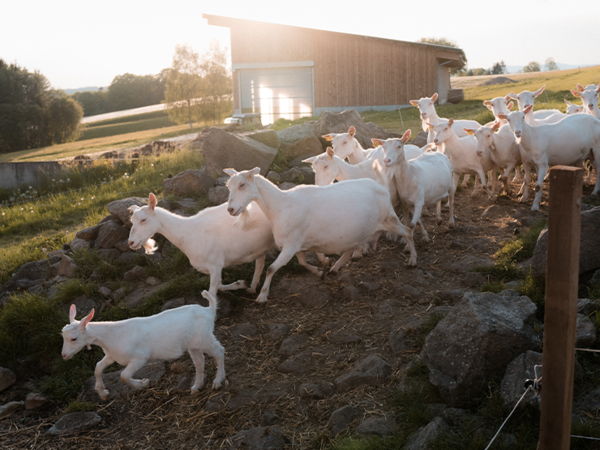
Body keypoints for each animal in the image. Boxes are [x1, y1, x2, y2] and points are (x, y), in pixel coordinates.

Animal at [61, 292, 225, 400]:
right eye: (63, 336)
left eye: (74, 339)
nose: (64, 355)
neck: (113, 335)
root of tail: (208, 310)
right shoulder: (112, 355)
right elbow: (98, 368)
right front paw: (103, 393)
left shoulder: (140, 358)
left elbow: (124, 376)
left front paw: (143, 384)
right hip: (193, 344)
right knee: (200, 361)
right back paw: (197, 387)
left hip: (205, 338)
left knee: (219, 351)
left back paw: (218, 381)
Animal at [130, 192, 276, 296]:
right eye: (132, 220)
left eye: (143, 219)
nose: (131, 242)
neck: (187, 233)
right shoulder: (213, 267)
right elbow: (219, 286)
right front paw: (241, 283)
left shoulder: (215, 264)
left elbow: (212, 293)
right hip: (259, 245)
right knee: (260, 261)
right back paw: (252, 287)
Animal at [225, 168, 418, 302]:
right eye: (229, 186)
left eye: (242, 185)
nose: (230, 209)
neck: (280, 205)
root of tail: (381, 187)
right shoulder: (298, 245)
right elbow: (302, 263)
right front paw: (320, 271)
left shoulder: (290, 246)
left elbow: (271, 269)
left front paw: (262, 296)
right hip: (358, 231)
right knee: (350, 249)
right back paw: (335, 268)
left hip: (388, 218)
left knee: (408, 231)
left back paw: (413, 260)